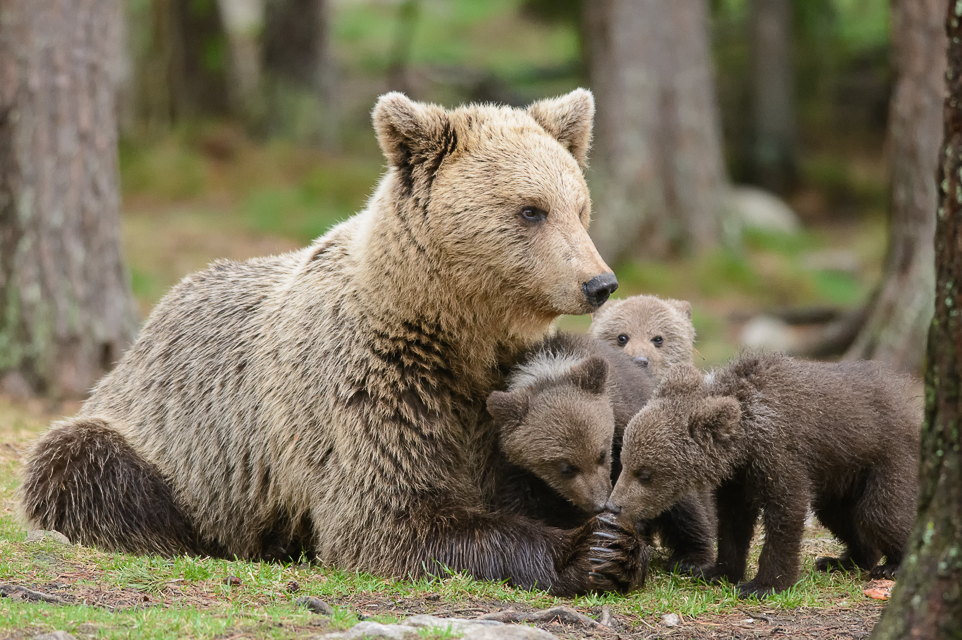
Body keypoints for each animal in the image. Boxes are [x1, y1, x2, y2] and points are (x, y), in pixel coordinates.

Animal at [19, 90, 649, 596]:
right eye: (530, 209)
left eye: (580, 207)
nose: (599, 282)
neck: (453, 328)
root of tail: (146, 331)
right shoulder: (371, 383)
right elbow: (388, 516)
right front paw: (590, 549)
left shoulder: (499, 387)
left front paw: (617, 540)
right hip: (162, 439)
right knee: (81, 463)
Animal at [487, 332, 716, 573]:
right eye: (566, 468)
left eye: (602, 455)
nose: (600, 504)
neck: (552, 371)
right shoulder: (518, 468)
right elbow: (522, 505)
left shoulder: (627, 422)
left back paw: (691, 558)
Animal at [607, 352, 921, 598]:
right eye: (624, 461)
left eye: (645, 473)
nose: (613, 505)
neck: (747, 436)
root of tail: (908, 403)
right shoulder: (738, 477)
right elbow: (733, 522)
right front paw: (717, 571)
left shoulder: (781, 455)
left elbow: (785, 514)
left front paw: (763, 585)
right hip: (840, 476)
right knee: (840, 516)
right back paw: (842, 560)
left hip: (886, 458)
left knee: (880, 513)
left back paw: (894, 564)